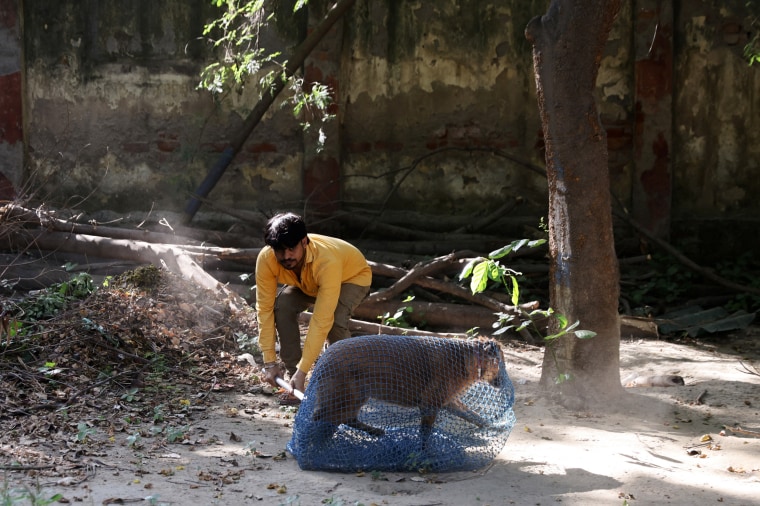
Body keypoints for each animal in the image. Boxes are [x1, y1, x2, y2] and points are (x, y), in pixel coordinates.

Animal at [308, 336, 504, 442]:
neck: (467, 359)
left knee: (346, 418)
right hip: (344, 397)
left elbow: (476, 417)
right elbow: (425, 434)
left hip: (356, 397)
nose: (502, 382)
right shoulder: (430, 404)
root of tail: (323, 358)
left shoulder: (448, 402)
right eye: (501, 363)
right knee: (321, 417)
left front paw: (496, 427)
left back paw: (375, 431)